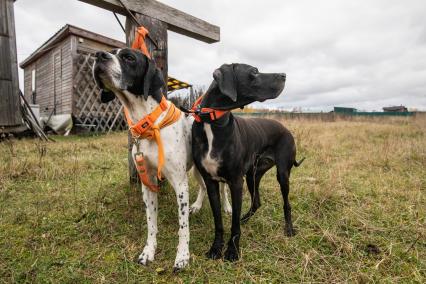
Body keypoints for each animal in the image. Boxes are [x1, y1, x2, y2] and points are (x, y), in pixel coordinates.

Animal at [93, 47, 231, 270]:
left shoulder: (180, 184)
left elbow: (183, 227)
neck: (149, 123)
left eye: (129, 57)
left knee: (223, 188)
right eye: (110, 52)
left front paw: (182, 256)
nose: (98, 56)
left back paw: (226, 206)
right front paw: (149, 251)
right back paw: (197, 206)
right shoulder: (148, 182)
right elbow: (151, 223)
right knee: (203, 187)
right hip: (196, 171)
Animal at [191, 63, 304, 260]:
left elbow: (234, 223)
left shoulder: (236, 182)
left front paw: (232, 251)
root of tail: (285, 128)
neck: (213, 121)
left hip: (282, 174)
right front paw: (216, 248)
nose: (284, 75)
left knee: (286, 204)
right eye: (254, 72)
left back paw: (289, 229)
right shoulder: (211, 182)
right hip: (253, 175)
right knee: (256, 201)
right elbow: (218, 220)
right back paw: (246, 218)